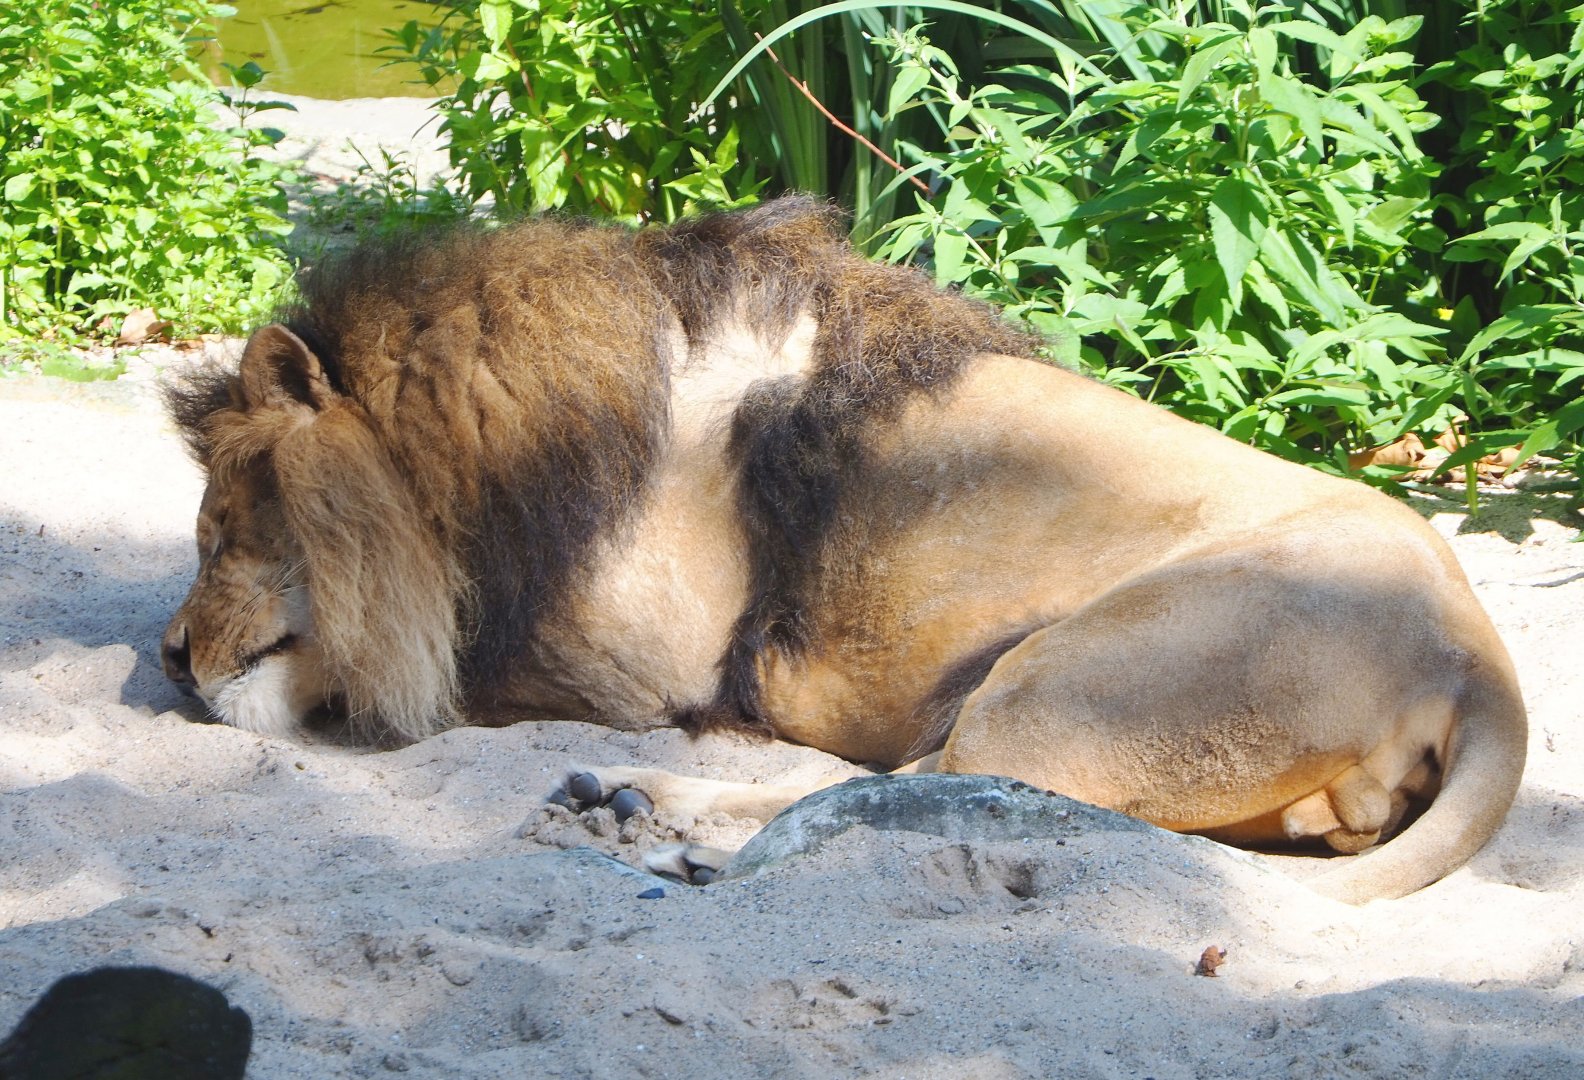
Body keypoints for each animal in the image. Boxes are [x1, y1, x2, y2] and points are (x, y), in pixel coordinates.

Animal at [161, 198, 1526, 904]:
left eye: (222, 528)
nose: (169, 659)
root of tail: (1481, 654)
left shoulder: (622, 665)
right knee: (933, 792)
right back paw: (641, 804)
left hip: (1069, 679)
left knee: (942, 796)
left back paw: (672, 824)